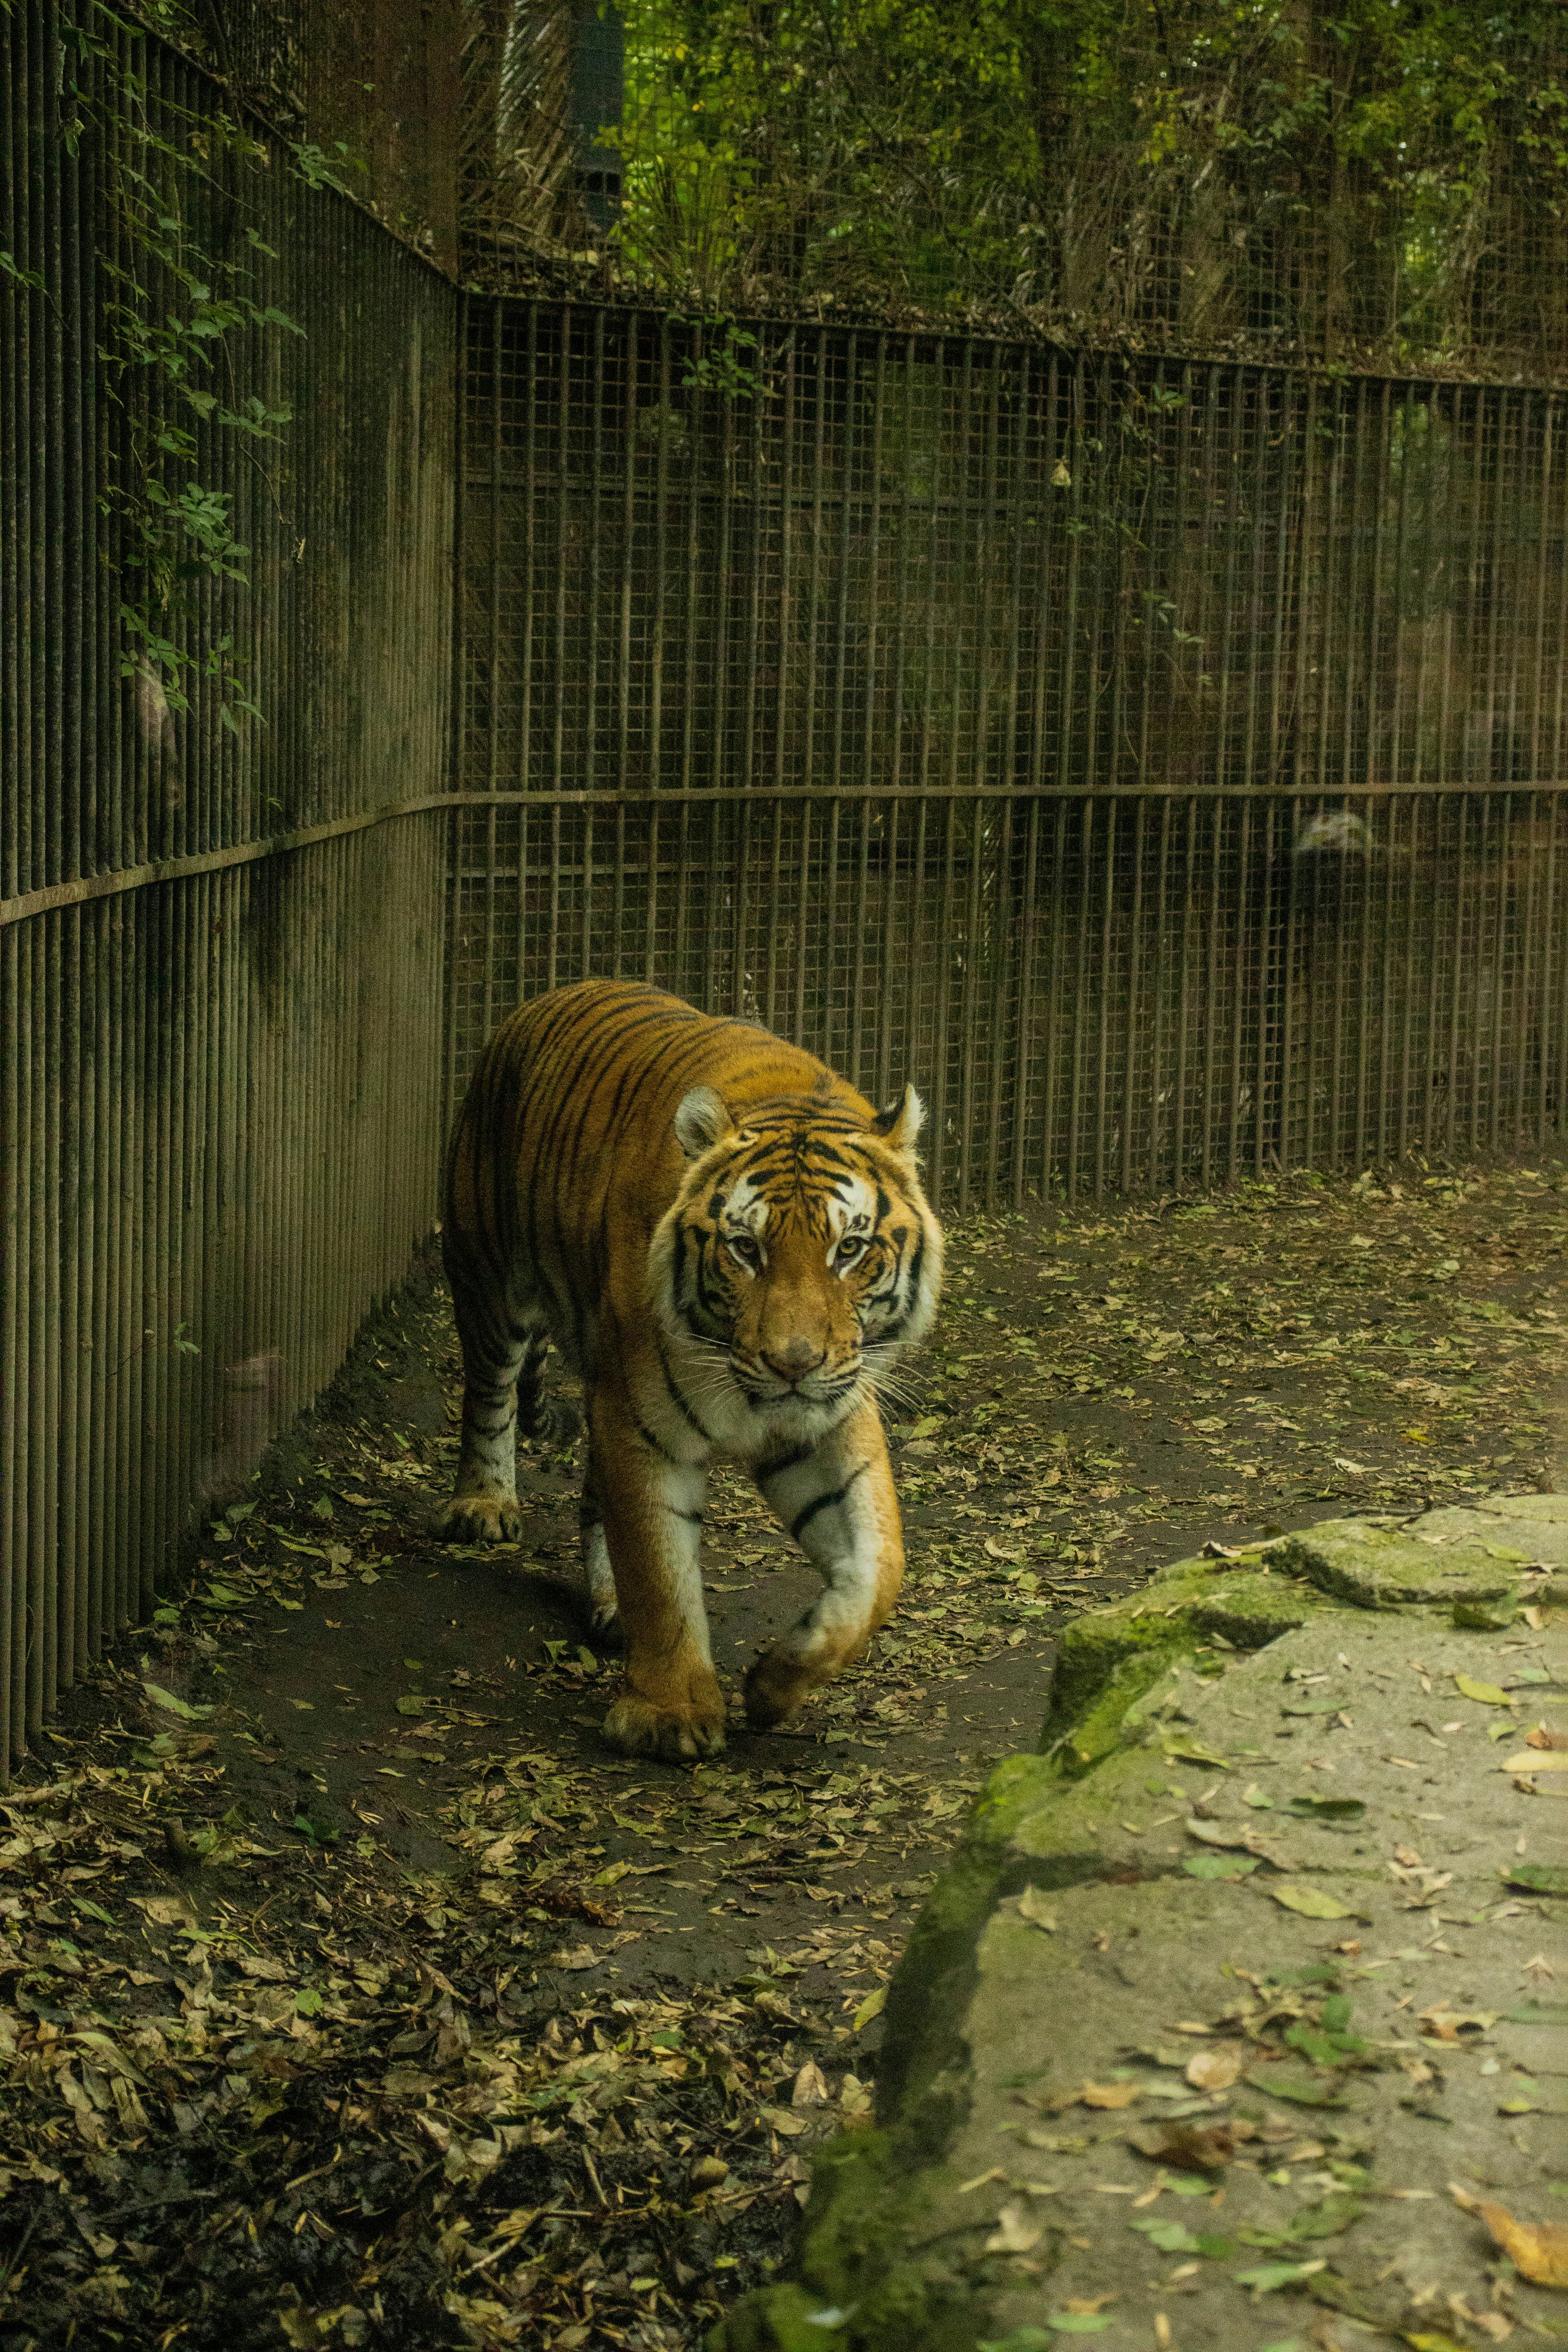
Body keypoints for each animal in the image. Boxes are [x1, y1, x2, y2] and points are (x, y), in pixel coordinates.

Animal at [435, 978, 944, 1762]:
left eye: (850, 1250)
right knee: (489, 1393)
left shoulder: (831, 1418)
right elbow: (659, 1568)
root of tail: (545, 996)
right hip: (490, 1275)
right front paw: (668, 1715)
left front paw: (777, 1682)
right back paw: (484, 1506)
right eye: (746, 1248)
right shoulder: (643, 1424)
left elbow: (879, 1569)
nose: (793, 1363)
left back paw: (608, 1604)